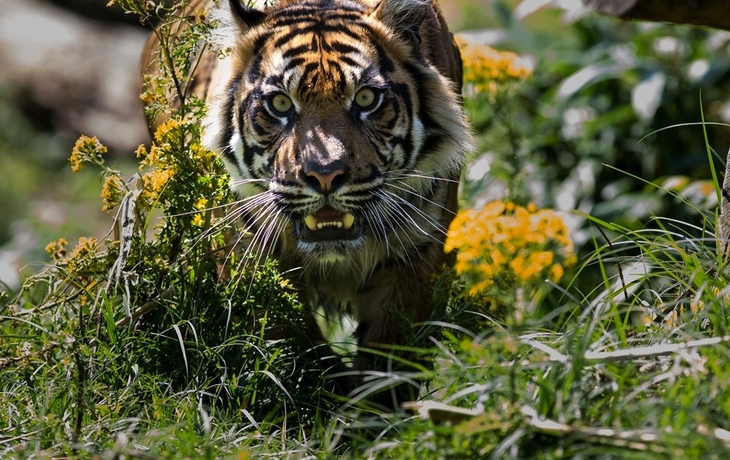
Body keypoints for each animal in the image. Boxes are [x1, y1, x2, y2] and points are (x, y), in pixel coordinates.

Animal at [141, 0, 471, 409]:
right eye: (281, 103)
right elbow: (292, 345)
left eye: (366, 99)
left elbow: (390, 359)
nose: (325, 174)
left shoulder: (415, 254)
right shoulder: (250, 256)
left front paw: (376, 416)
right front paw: (320, 400)